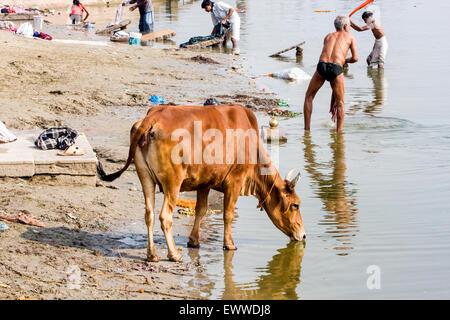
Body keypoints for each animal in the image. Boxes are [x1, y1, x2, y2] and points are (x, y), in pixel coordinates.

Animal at [98, 105, 306, 262]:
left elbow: (201, 210)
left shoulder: (204, 183)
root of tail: (152, 118)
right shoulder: (234, 181)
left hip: (145, 178)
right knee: (165, 216)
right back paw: (173, 254)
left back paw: (152, 255)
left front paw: (193, 241)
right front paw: (229, 244)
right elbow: (228, 215)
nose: (303, 235)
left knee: (149, 215)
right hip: (172, 183)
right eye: (295, 205)